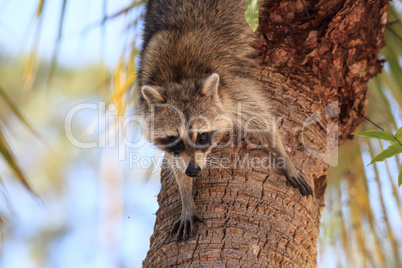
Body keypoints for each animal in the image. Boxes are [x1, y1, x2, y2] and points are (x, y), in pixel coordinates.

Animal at [138, 0, 314, 242]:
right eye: (176, 139)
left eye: (202, 137)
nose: (193, 171)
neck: (179, 77)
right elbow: (176, 162)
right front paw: (186, 197)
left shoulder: (231, 87)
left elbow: (261, 119)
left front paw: (284, 158)